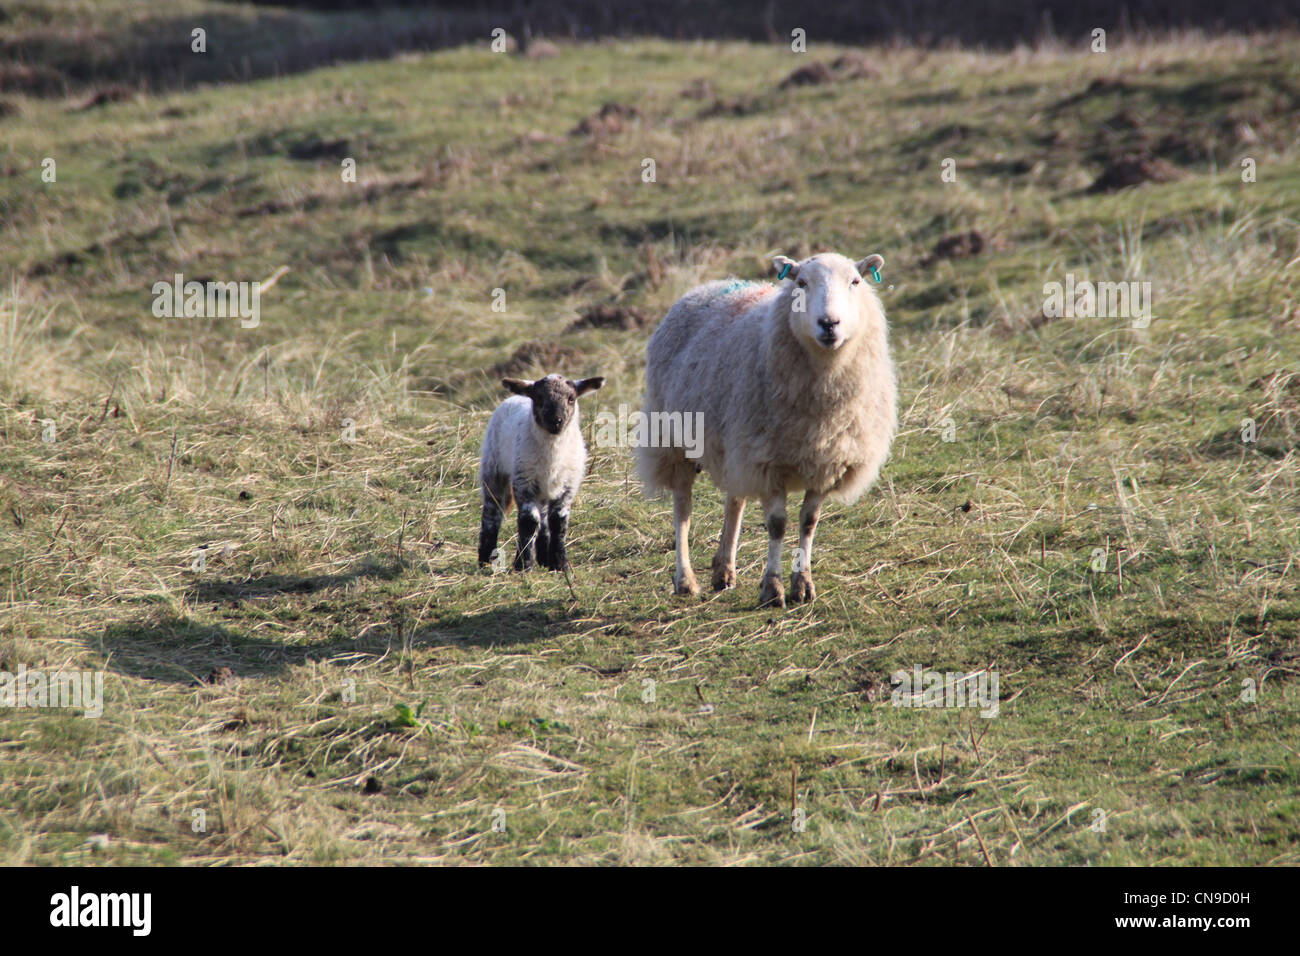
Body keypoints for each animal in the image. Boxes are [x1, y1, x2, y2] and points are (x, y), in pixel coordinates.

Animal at [478, 371, 603, 567]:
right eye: (539, 398)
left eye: (571, 399)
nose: (556, 421)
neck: (553, 454)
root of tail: (514, 397)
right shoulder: (524, 480)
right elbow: (529, 520)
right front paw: (523, 564)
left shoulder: (568, 485)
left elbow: (558, 521)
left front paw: (561, 564)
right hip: (494, 467)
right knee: (492, 512)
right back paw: (486, 558)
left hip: (543, 487)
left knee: (544, 518)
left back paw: (544, 558)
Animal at [634, 254, 899, 608]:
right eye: (801, 282)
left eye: (855, 282)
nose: (829, 323)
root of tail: (712, 284)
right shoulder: (768, 461)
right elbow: (777, 525)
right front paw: (772, 588)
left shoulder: (825, 461)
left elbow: (808, 522)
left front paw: (803, 584)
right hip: (674, 441)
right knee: (682, 508)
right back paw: (685, 580)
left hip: (736, 444)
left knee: (735, 500)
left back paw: (724, 570)